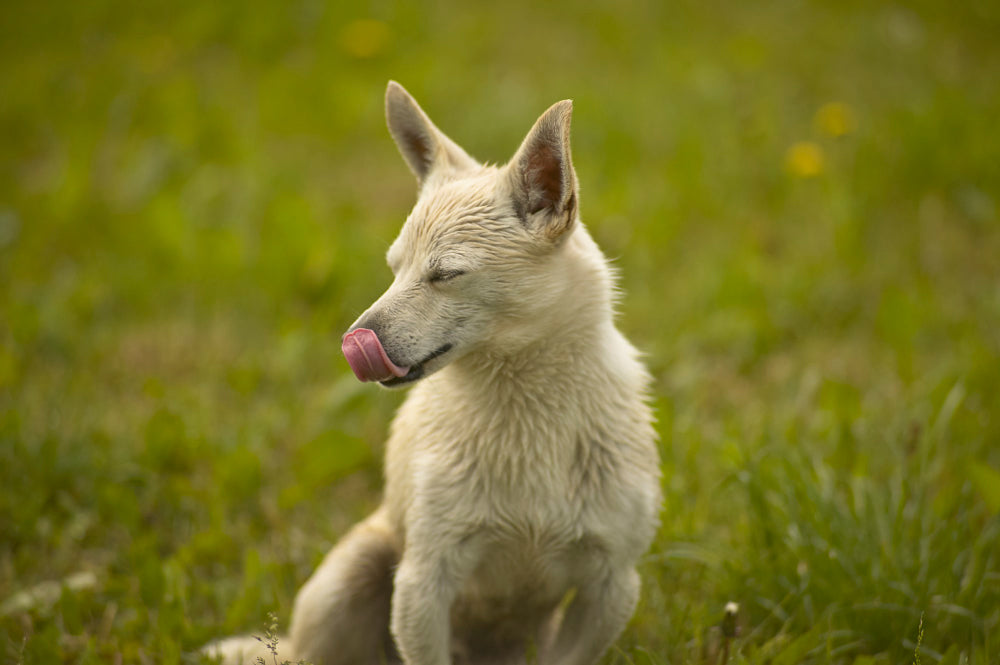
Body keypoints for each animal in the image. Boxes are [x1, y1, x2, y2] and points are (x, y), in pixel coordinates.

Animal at [209, 81, 664, 664]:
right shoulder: (423, 582)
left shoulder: (611, 586)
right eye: (393, 269)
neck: (525, 413)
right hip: (352, 576)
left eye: (446, 274)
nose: (354, 342)